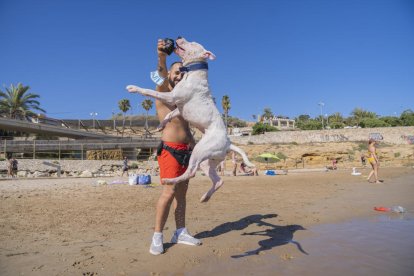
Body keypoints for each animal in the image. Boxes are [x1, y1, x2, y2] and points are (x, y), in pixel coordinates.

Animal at [126, 36, 256, 202]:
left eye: (192, 43)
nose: (179, 36)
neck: (193, 72)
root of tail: (228, 143)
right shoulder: (179, 108)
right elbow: (170, 115)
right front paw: (161, 125)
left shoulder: (171, 97)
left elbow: (149, 91)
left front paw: (133, 88)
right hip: (207, 162)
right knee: (218, 180)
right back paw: (205, 197)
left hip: (199, 151)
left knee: (191, 171)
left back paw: (170, 180)